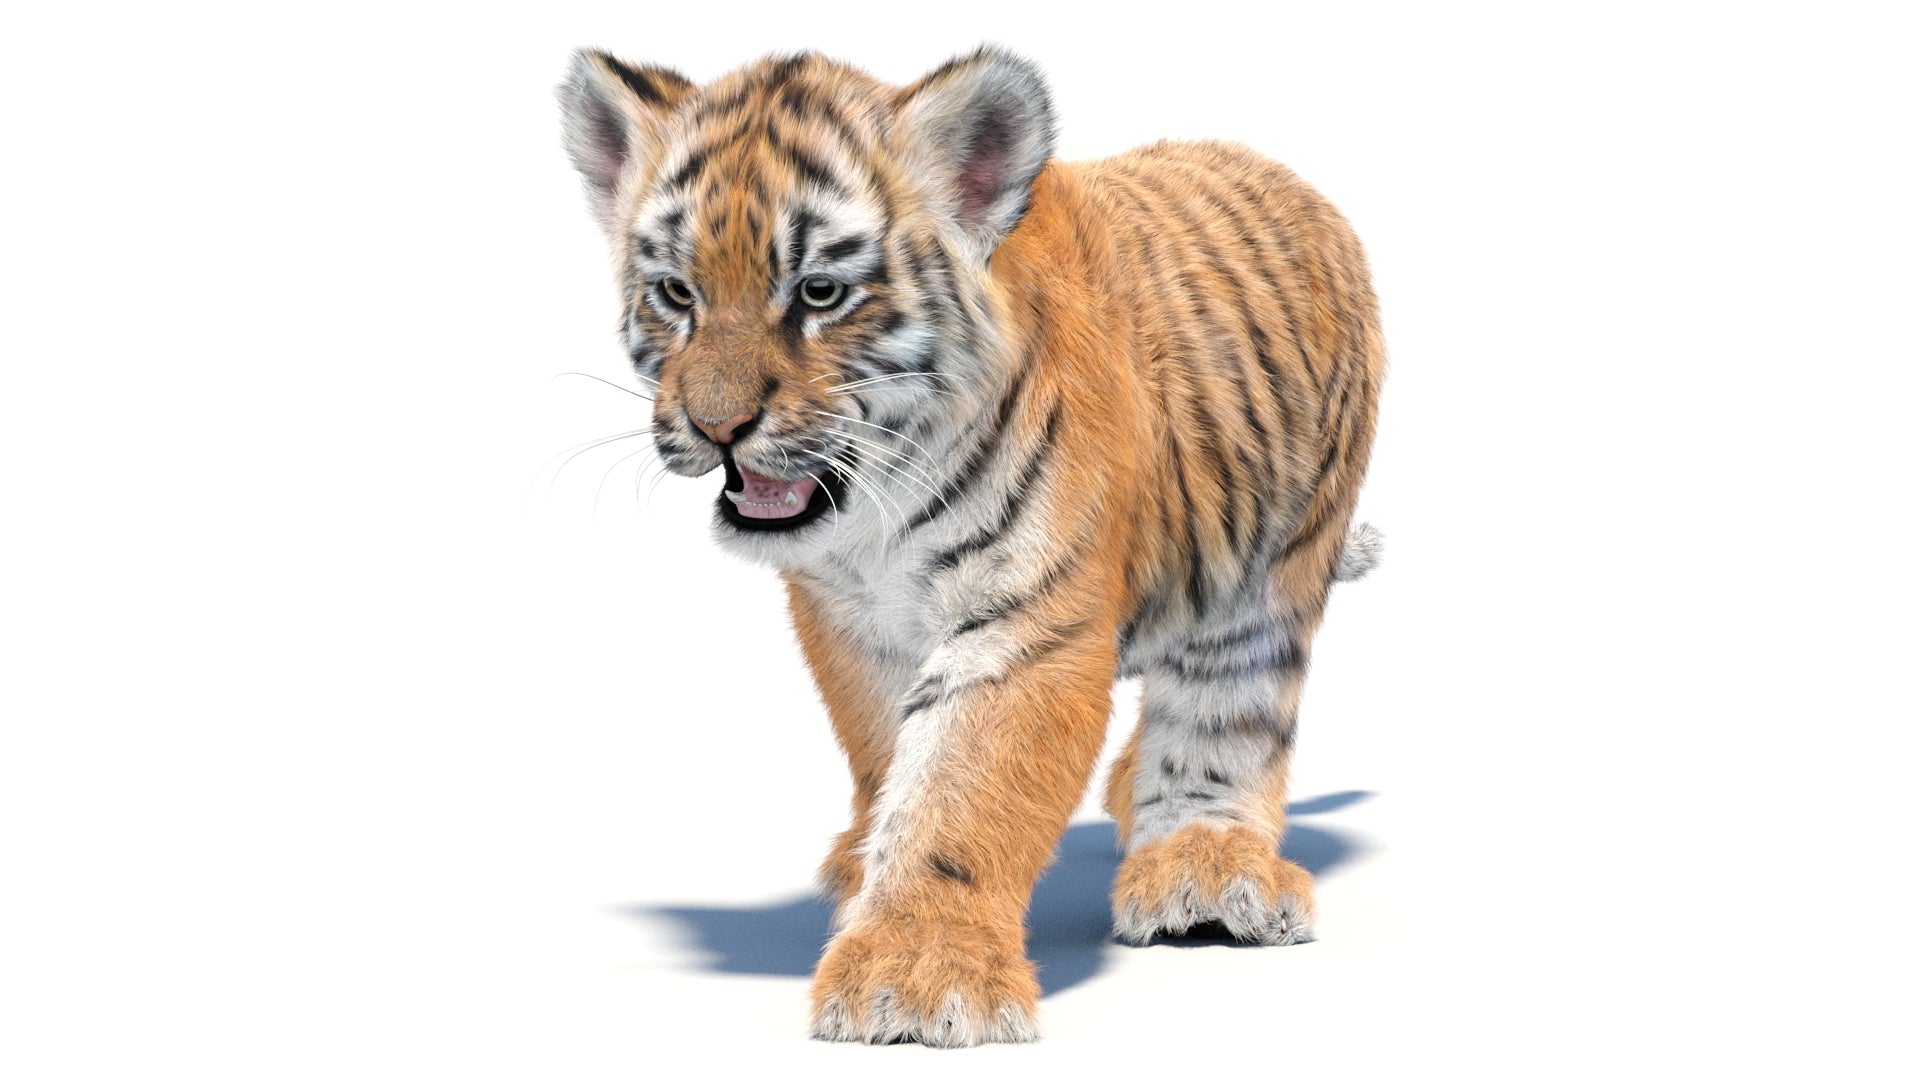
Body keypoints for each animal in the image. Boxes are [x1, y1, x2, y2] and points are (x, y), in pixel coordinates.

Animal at [558, 44, 1384, 1047]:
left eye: (820, 293)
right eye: (678, 293)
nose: (717, 427)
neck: (875, 517)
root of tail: (1286, 177)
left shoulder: (1024, 624)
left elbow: (964, 787)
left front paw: (914, 976)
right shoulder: (848, 621)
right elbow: (887, 754)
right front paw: (870, 870)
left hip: (1271, 569)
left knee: (1224, 717)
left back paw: (1205, 866)